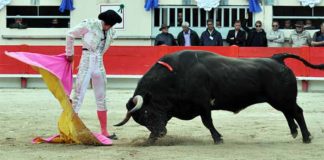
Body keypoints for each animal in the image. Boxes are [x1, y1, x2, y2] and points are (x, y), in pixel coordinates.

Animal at [114, 50, 324, 144]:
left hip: (282, 99)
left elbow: (208, 122)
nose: (159, 134)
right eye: (141, 120)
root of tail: (276, 58)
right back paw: (295, 133)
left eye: (147, 113)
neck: (175, 76)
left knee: (297, 112)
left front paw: (218, 138)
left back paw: (306, 137)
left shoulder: (203, 105)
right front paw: (149, 139)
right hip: (279, 100)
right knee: (289, 113)